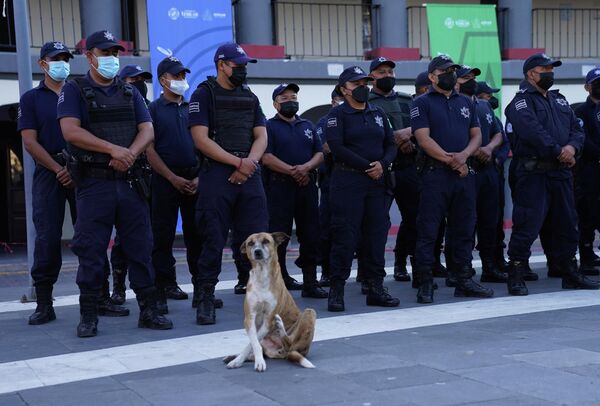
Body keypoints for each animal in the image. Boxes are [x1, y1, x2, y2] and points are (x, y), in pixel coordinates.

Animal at [224, 232, 318, 372]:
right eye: (250, 243)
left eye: (266, 241)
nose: (257, 251)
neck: (262, 275)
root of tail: (281, 353)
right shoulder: (249, 318)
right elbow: (253, 342)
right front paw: (239, 360)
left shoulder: (268, 320)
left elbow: (253, 343)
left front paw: (256, 362)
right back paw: (236, 356)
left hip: (309, 313)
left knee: (289, 343)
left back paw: (280, 326)